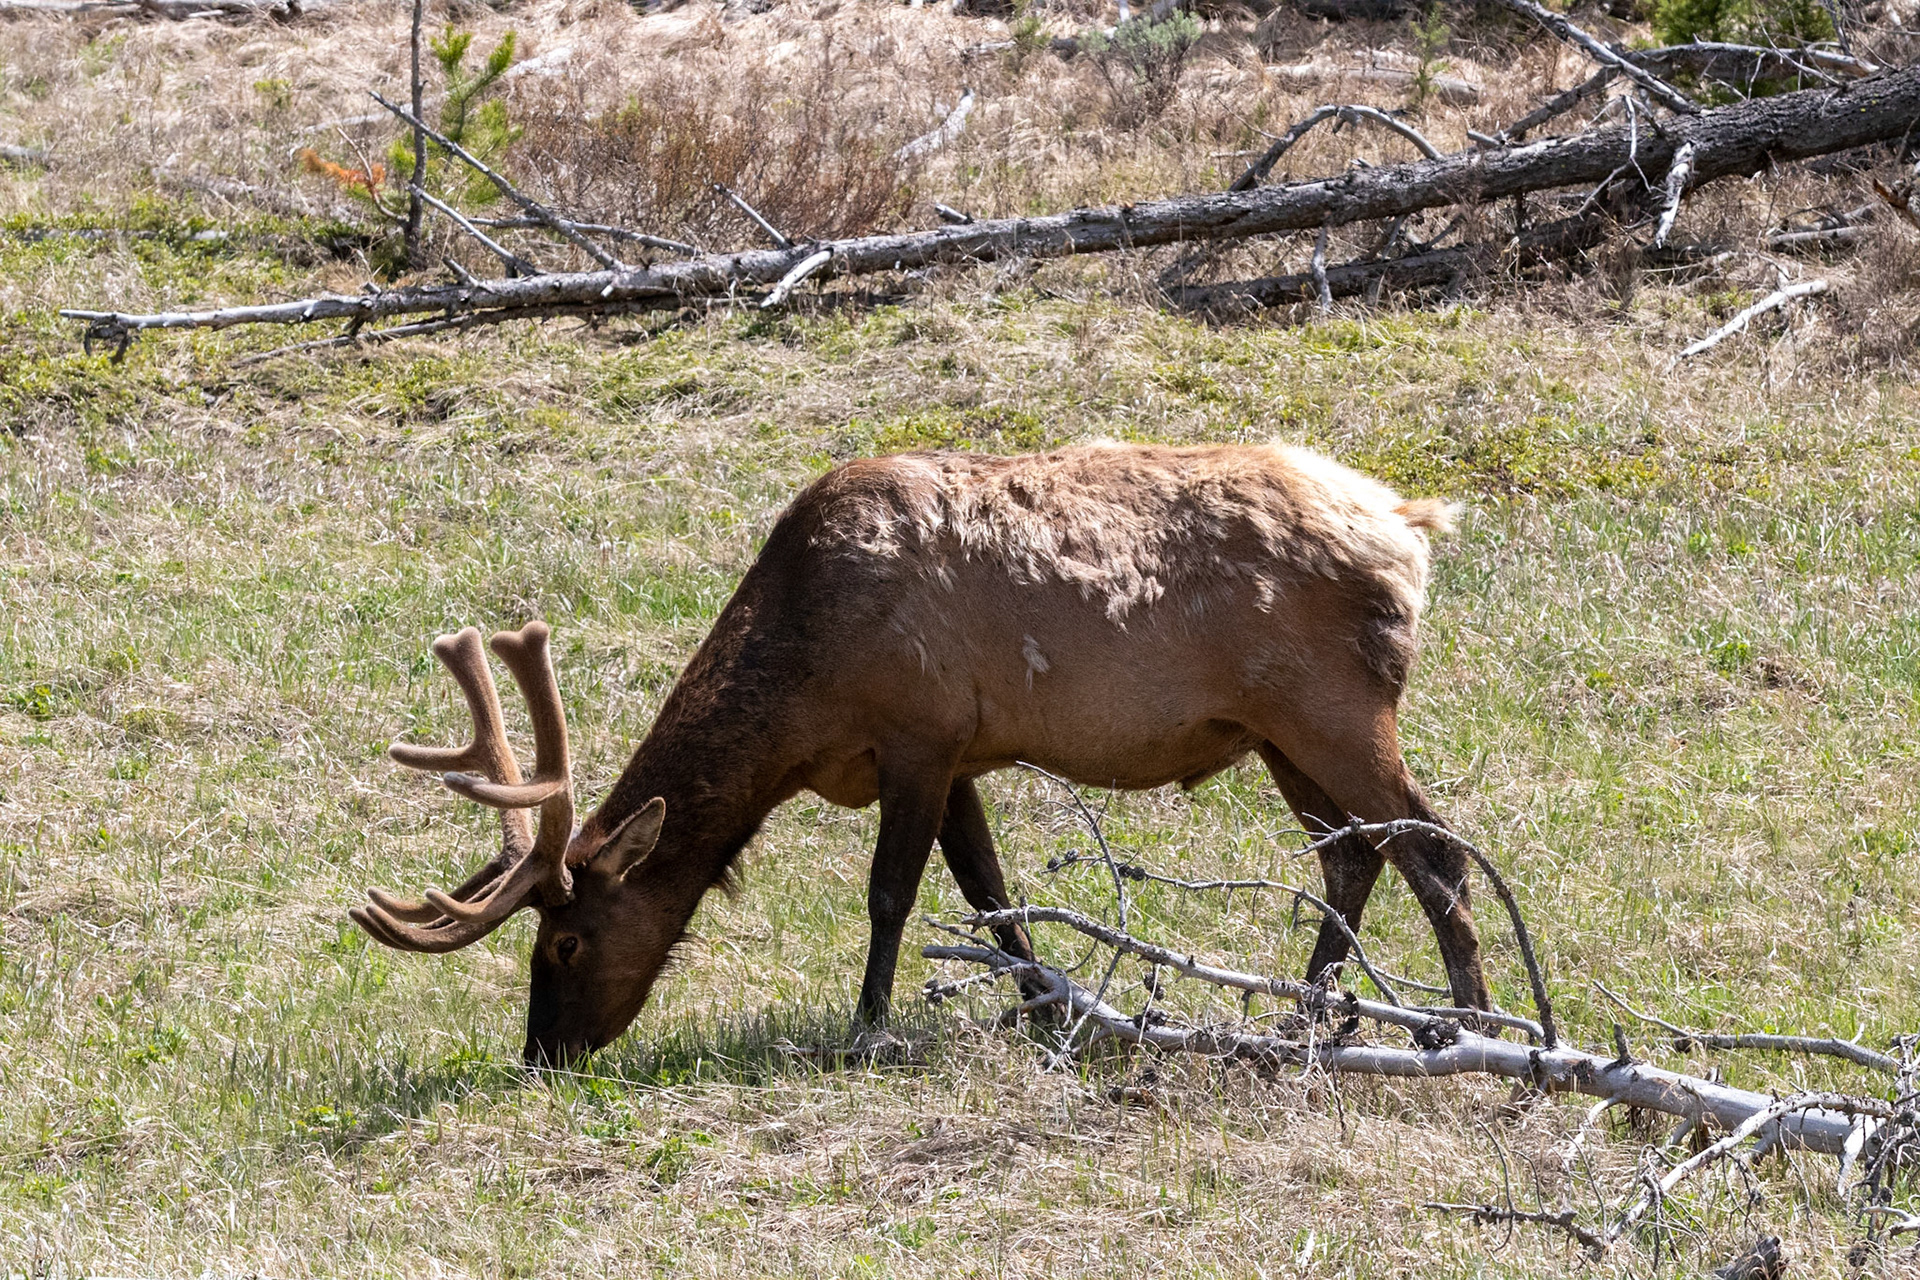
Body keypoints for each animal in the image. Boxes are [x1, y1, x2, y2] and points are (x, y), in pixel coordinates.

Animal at [350, 442, 1487, 1067]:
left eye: (566, 944)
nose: (542, 1053)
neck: (807, 688)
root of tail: (1410, 528)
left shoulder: (919, 730)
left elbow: (893, 892)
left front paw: (868, 1027)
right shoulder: (962, 753)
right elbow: (989, 890)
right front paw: (1044, 1009)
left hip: (1331, 709)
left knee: (1434, 848)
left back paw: (1474, 1030)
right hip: (1279, 734)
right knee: (1357, 852)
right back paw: (1308, 1019)